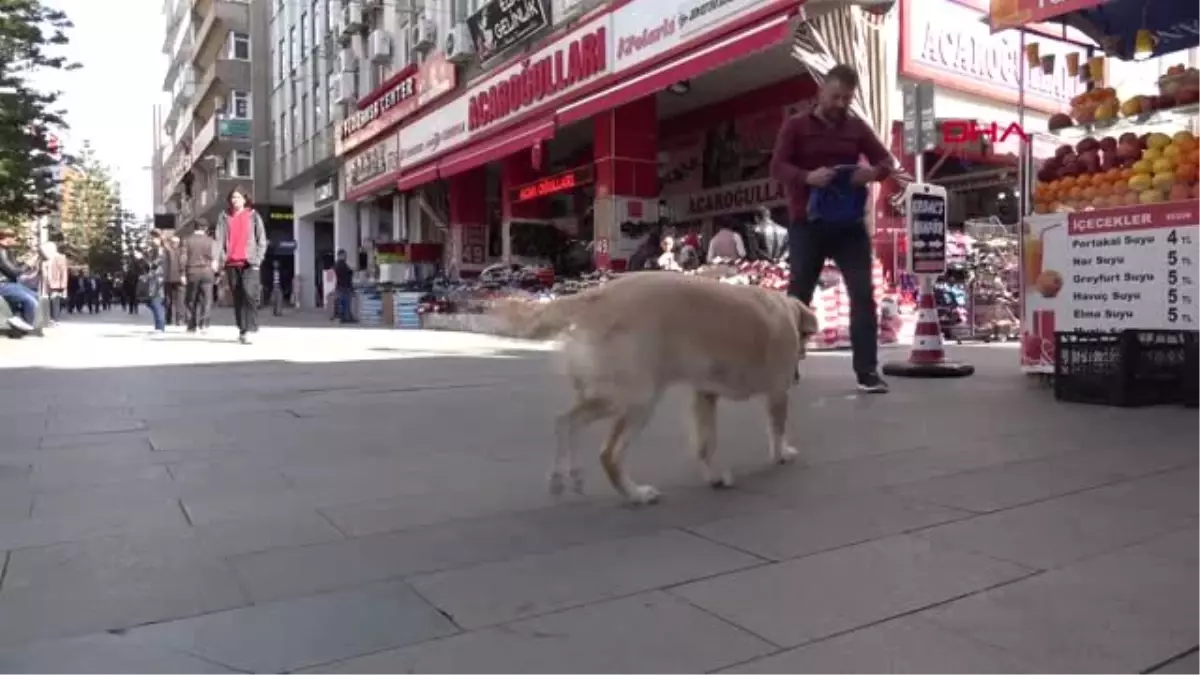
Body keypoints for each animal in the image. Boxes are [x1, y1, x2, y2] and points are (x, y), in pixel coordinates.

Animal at [492, 270, 820, 502]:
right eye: (805, 337)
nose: (801, 361)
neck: (785, 309)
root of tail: (595, 295)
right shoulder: (777, 392)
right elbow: (777, 431)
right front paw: (781, 454)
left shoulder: (704, 396)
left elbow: (705, 443)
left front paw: (714, 476)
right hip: (638, 399)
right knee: (607, 454)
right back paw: (636, 494)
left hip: (611, 394)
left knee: (565, 422)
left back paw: (566, 476)